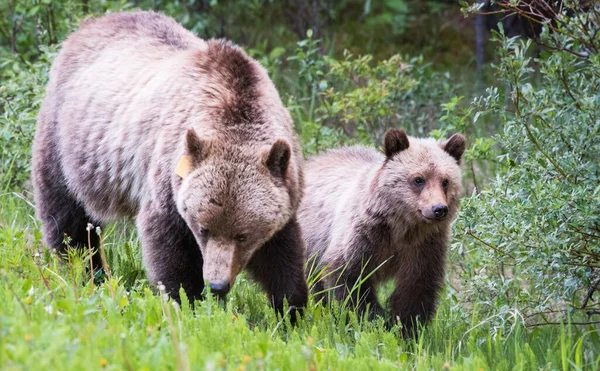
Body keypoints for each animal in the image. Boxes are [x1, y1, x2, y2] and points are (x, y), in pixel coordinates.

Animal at [31, 10, 308, 316]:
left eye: (243, 235)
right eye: (203, 229)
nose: (217, 285)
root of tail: (90, 23)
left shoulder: (284, 189)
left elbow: (282, 254)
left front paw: (291, 309)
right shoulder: (168, 175)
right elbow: (169, 247)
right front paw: (187, 302)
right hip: (68, 141)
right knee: (67, 216)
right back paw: (83, 271)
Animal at [298, 129, 464, 336]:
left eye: (445, 181)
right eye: (418, 179)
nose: (439, 209)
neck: (402, 228)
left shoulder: (424, 247)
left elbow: (416, 288)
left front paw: (407, 328)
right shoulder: (364, 238)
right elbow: (349, 279)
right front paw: (373, 320)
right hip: (310, 239)